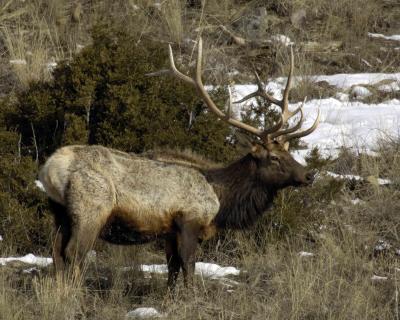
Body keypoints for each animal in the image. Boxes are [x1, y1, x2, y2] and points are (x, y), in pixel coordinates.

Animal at [37, 37, 318, 288]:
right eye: (274, 157)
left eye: (290, 153)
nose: (309, 175)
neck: (221, 199)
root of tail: (50, 169)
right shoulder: (188, 221)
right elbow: (188, 265)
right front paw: (190, 298)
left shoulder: (169, 231)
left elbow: (171, 267)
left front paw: (170, 298)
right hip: (91, 207)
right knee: (74, 252)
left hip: (59, 211)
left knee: (56, 252)